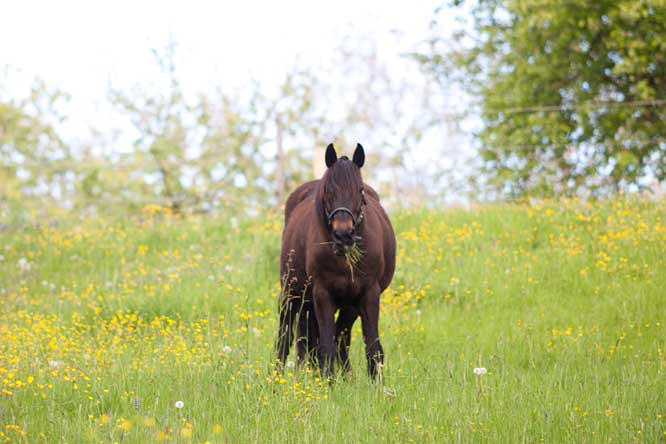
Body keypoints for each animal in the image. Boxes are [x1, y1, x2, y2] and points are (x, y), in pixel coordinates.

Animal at [274, 142, 394, 378]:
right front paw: (327, 383)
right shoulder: (322, 294)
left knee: (337, 338)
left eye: (360, 190)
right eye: (328, 190)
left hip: (345, 305)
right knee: (285, 338)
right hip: (292, 294)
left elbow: (373, 348)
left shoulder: (368, 294)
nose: (343, 234)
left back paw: (345, 378)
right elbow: (325, 347)